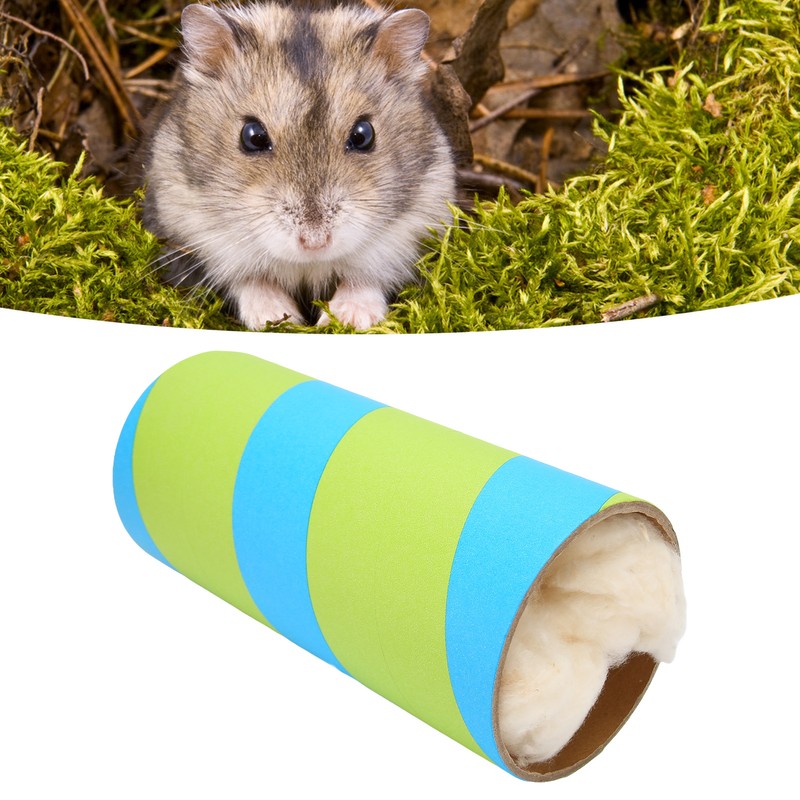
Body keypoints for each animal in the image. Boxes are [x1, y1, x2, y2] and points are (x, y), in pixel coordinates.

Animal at [143, 0, 456, 330]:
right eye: (253, 136)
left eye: (363, 135)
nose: (315, 243)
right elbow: (249, 281)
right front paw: (279, 319)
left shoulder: (413, 228)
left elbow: (366, 279)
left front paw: (346, 320)